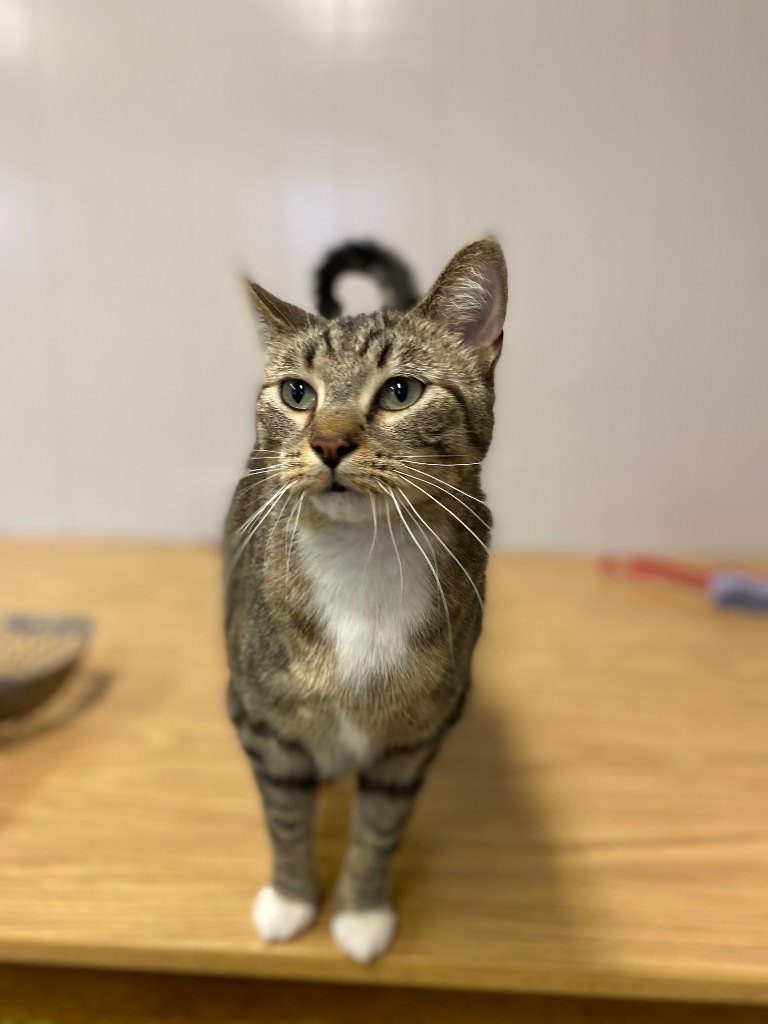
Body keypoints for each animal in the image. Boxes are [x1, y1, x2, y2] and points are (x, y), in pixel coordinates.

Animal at [224, 235, 512, 962]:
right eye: (297, 392)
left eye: (401, 391)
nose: (327, 442)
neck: (363, 558)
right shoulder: (260, 721)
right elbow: (285, 817)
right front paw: (292, 900)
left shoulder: (412, 741)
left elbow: (381, 828)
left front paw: (360, 913)